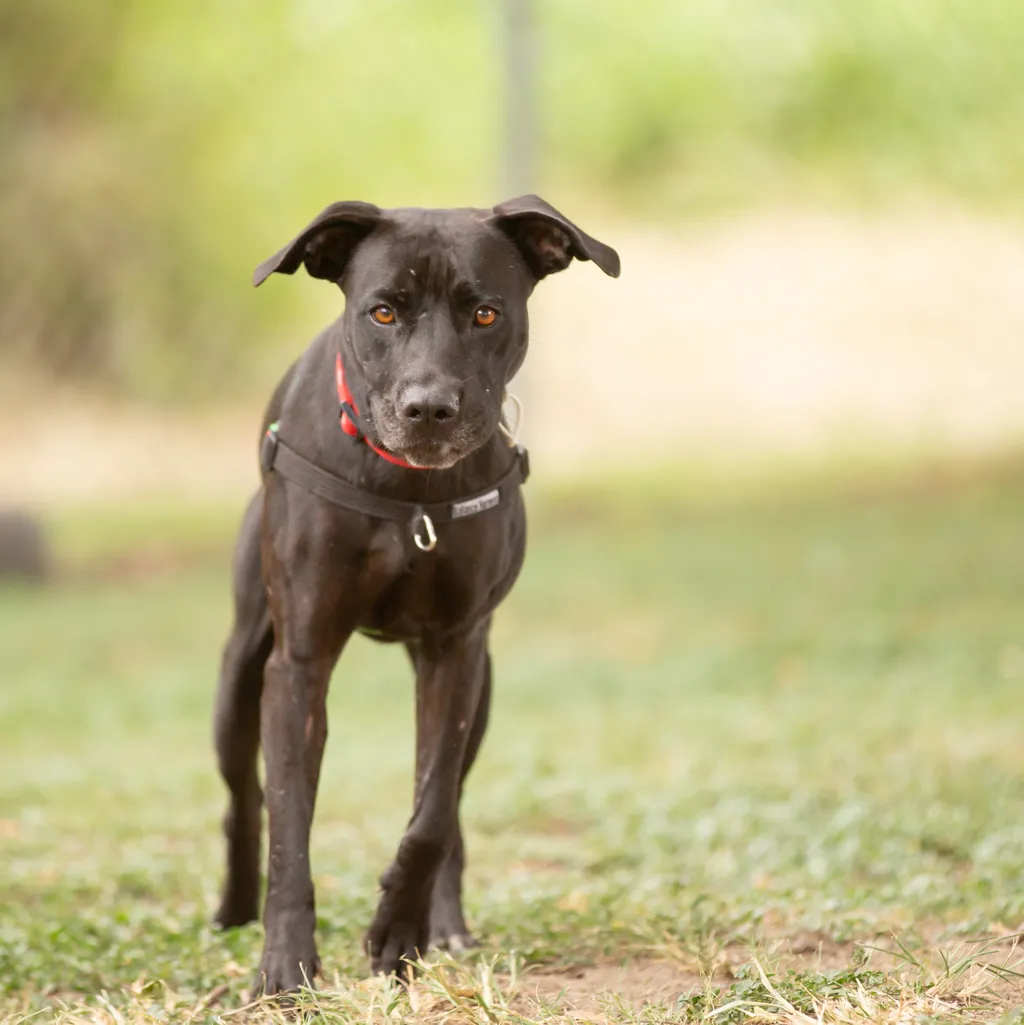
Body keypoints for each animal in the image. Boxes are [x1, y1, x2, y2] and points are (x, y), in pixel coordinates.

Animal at [212, 193, 619, 992]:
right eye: (382, 312)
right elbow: (289, 822)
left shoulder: (455, 651)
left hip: (481, 689)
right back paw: (234, 907)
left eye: (486, 313)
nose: (429, 407)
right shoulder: (299, 664)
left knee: (450, 802)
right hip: (241, 668)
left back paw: (445, 923)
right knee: (244, 797)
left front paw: (398, 933)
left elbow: (430, 814)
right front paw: (285, 963)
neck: (409, 492)